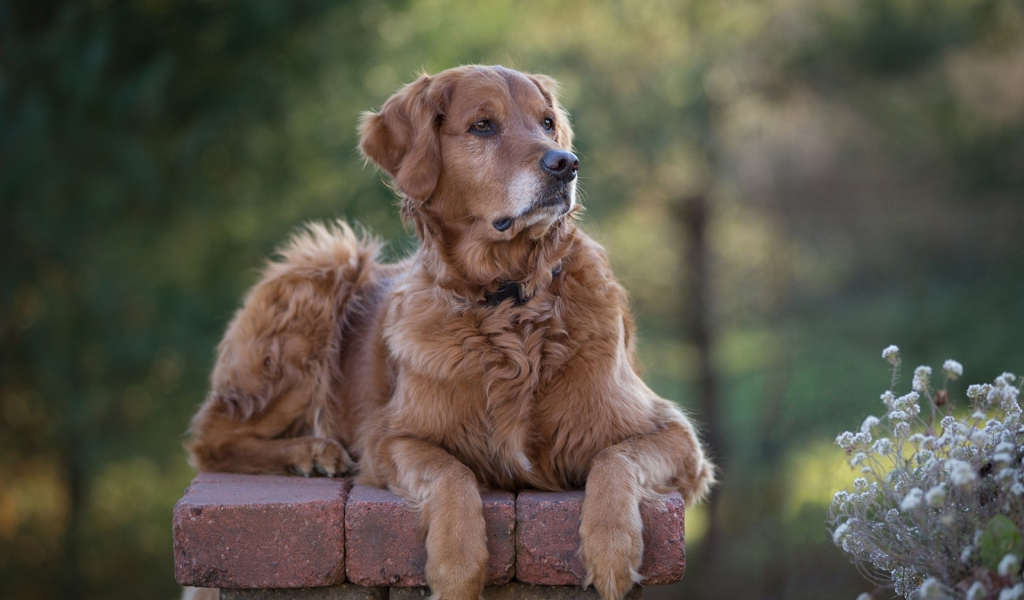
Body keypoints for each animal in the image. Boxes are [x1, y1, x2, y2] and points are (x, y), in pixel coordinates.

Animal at [188, 62, 716, 597]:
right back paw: (312, 451)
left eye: (547, 123)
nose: (566, 164)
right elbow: (451, 472)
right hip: (325, 263)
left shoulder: (676, 437)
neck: (507, 302)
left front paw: (612, 549)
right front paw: (457, 567)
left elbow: (615, 459)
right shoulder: (390, 439)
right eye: (483, 125)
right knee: (210, 439)